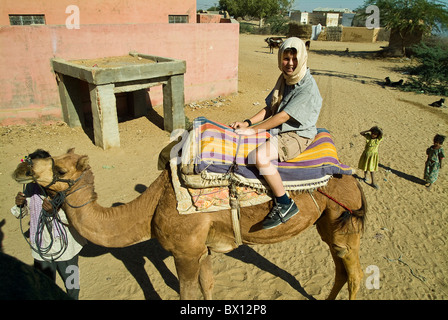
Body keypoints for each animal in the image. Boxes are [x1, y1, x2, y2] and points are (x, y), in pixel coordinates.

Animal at [12, 149, 366, 298]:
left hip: (346, 223)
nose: (21, 167)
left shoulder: (184, 252)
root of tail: (353, 176)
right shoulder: (201, 249)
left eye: (59, 169)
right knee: (339, 267)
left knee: (355, 275)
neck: (152, 207)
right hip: (329, 224)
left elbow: (188, 294)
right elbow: (208, 286)